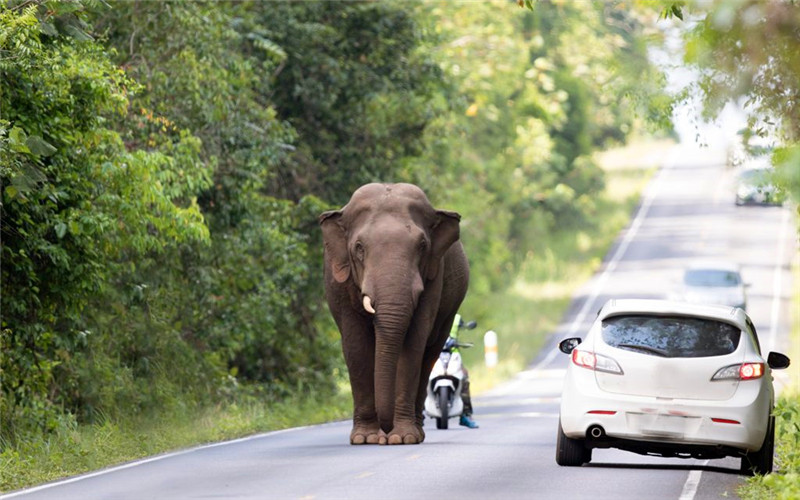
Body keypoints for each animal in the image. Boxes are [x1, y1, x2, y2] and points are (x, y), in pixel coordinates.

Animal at [318, 183, 468, 446]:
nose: (384, 433)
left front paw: (403, 438)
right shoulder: (338, 282)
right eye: (359, 248)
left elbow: (413, 344)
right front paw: (364, 438)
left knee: (428, 355)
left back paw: (416, 433)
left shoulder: (434, 276)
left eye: (422, 246)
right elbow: (356, 346)